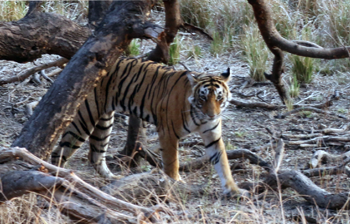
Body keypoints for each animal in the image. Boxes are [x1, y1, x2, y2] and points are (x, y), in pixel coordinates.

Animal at [51, 57, 246, 195]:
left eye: (219, 97)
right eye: (203, 97)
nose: (212, 115)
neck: (199, 116)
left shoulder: (213, 136)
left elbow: (223, 163)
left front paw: (233, 190)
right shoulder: (168, 133)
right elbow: (172, 162)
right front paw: (176, 183)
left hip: (104, 122)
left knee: (95, 154)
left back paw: (113, 179)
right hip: (85, 119)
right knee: (59, 152)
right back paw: (58, 176)